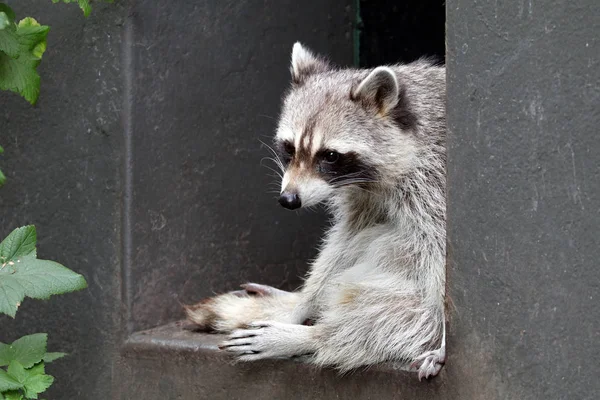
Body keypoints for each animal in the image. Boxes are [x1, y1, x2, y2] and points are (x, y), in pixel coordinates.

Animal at [185, 42, 448, 380]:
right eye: (289, 148)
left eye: (331, 155)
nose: (288, 200)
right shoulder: (364, 195)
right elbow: (344, 240)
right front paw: (304, 303)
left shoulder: (434, 186)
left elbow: (440, 268)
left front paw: (445, 342)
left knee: (395, 317)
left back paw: (314, 336)